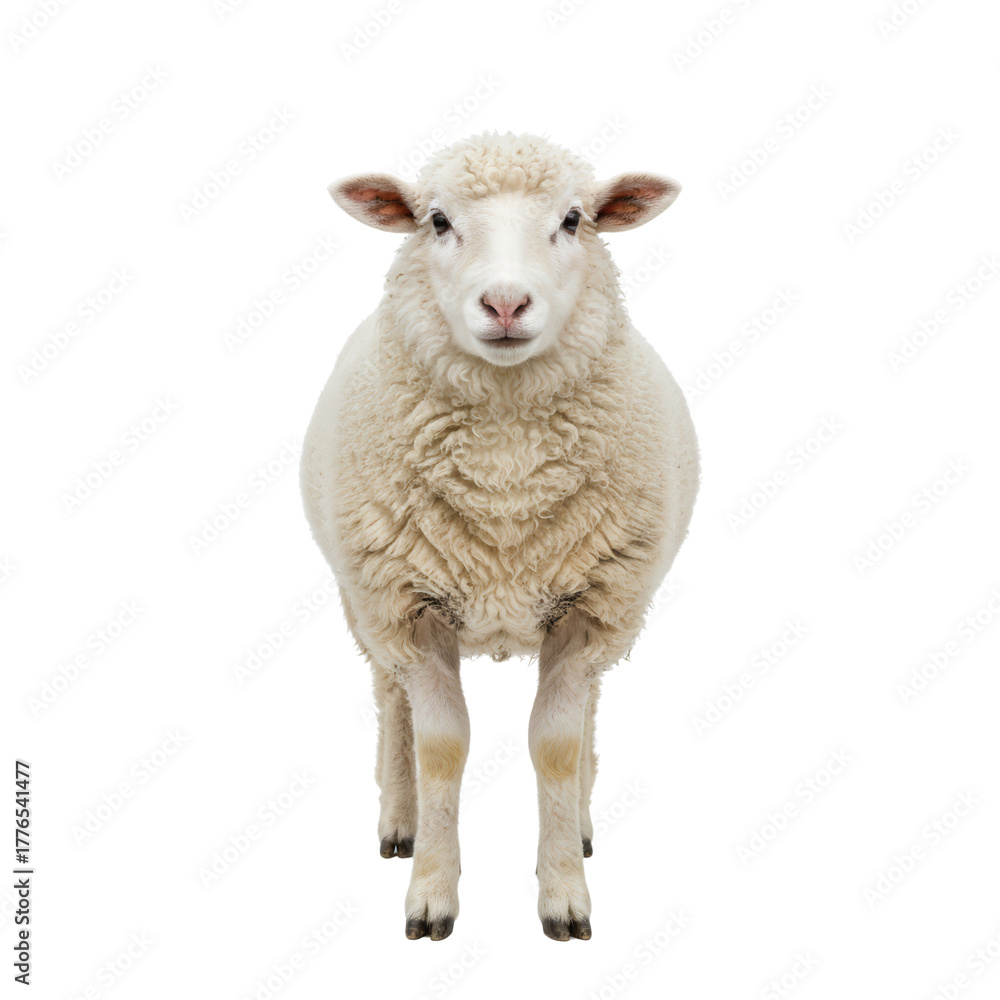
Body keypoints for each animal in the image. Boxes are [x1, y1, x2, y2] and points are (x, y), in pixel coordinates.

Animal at [300, 132, 699, 942]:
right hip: (364, 603)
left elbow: (556, 745)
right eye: (438, 221)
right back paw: (400, 820)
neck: (507, 467)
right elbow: (442, 746)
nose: (507, 303)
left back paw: (581, 821)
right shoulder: (408, 607)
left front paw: (564, 893)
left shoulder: (591, 607)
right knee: (391, 700)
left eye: (574, 220)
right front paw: (431, 894)